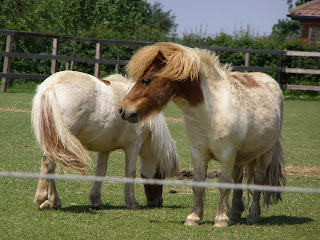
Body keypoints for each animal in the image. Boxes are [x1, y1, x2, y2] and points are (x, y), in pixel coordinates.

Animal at [32, 71, 180, 210]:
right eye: (160, 175)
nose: (158, 202)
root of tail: (50, 85)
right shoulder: (133, 146)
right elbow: (130, 172)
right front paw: (132, 202)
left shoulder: (104, 148)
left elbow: (100, 171)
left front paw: (95, 201)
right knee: (49, 163)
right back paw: (43, 199)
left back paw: (53, 201)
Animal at [119, 42, 286, 227]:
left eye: (146, 80)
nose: (123, 109)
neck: (211, 112)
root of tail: (271, 81)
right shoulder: (198, 153)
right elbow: (198, 186)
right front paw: (194, 218)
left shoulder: (227, 154)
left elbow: (224, 185)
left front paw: (220, 219)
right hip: (240, 157)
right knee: (238, 178)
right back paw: (235, 212)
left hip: (266, 153)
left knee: (259, 180)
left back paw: (253, 215)